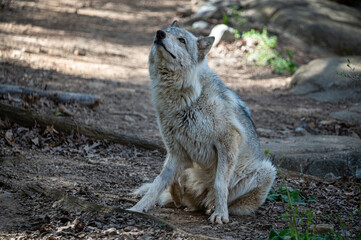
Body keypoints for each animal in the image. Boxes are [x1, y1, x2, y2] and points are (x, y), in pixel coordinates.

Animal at [128, 20, 274, 225]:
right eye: (167, 31)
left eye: (181, 40)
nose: (159, 33)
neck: (187, 99)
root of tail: (197, 201)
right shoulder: (176, 152)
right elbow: (157, 183)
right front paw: (137, 208)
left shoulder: (228, 141)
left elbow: (220, 184)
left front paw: (220, 214)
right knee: (175, 193)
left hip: (267, 170)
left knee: (220, 199)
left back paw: (211, 206)